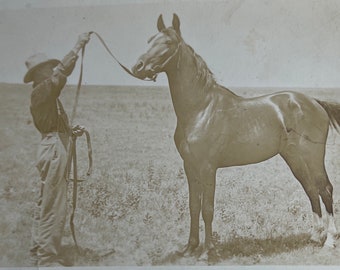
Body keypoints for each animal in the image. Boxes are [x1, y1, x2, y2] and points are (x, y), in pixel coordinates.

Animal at [131, 13, 338, 258]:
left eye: (168, 43)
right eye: (149, 40)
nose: (138, 67)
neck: (200, 108)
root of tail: (315, 102)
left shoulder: (208, 167)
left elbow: (207, 208)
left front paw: (207, 252)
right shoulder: (190, 166)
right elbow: (193, 206)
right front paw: (189, 248)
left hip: (313, 156)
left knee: (325, 189)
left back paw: (330, 240)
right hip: (294, 158)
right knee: (311, 189)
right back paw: (315, 237)